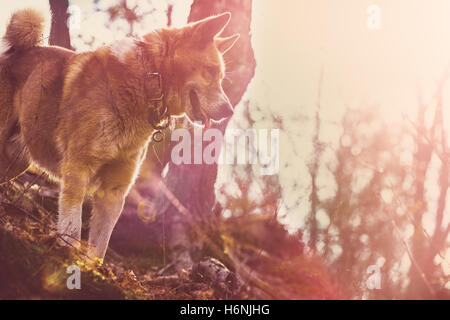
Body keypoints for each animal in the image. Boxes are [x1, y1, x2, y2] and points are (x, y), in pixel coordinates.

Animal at [0, 8, 239, 260]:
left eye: (221, 77)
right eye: (211, 71)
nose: (229, 111)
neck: (147, 80)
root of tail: (15, 51)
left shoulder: (114, 190)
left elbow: (100, 246)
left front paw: (90, 266)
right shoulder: (78, 169)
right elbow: (72, 228)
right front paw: (68, 257)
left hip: (15, 162)